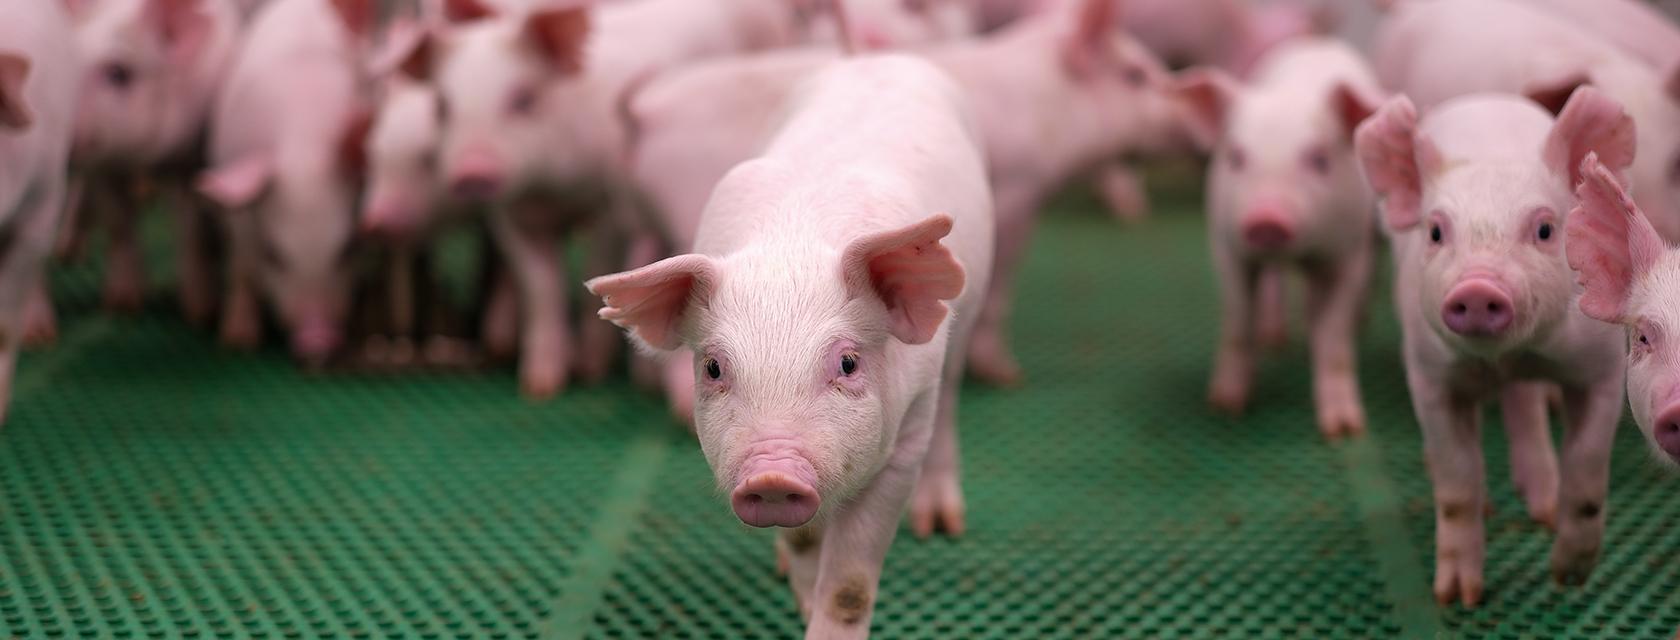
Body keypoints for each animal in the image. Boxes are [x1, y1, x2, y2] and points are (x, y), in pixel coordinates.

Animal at [65, 0, 241, 326]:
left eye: (119, 73)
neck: (142, 158)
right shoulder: (103, 167)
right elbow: (118, 224)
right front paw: (121, 307)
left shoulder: (191, 159)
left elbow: (191, 230)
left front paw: (200, 314)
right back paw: (69, 253)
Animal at [195, 0, 376, 365]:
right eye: (273, 253)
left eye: (349, 247)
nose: (317, 337)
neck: (303, 150)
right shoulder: (235, 211)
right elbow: (241, 265)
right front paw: (238, 342)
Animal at [590, 53, 993, 638]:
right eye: (713, 368)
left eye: (847, 363)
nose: (774, 472)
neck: (792, 245)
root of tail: (878, 58)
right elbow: (804, 537)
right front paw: (798, 587)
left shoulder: (903, 444)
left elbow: (850, 583)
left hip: (961, 331)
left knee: (949, 405)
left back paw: (940, 526)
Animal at [1171, 38, 1383, 438]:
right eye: (1236, 157)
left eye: (1319, 159)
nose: (1267, 217)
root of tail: (1316, 41)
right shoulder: (1226, 247)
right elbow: (1239, 319)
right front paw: (1225, 407)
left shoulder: (1349, 253)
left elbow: (1334, 337)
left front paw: (1343, 430)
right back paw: (1275, 338)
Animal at [1355, 87, 1632, 606]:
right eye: (1435, 231)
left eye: (1545, 230)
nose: (1478, 288)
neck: (1508, 355)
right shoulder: (1429, 375)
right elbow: (1457, 481)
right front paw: (1457, 596)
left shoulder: (1603, 367)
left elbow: (1587, 469)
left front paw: (1568, 577)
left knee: (1525, 405)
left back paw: (1542, 505)